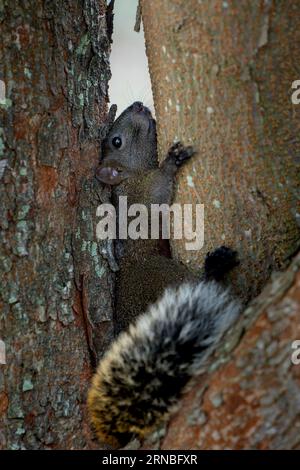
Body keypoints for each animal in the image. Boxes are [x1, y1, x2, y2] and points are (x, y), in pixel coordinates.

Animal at [87, 101, 241, 446]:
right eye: (117, 141)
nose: (139, 105)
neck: (132, 176)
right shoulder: (148, 194)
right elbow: (163, 183)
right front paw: (172, 161)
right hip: (167, 276)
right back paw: (216, 266)